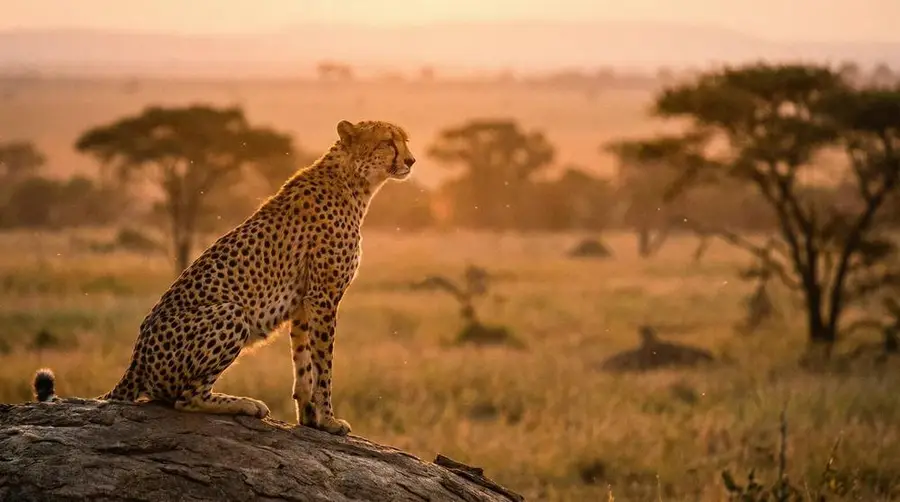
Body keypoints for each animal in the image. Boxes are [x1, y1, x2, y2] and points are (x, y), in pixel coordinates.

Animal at [31, 119, 415, 436]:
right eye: (388, 142)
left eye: (404, 140)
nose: (411, 161)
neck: (353, 181)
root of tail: (136, 359)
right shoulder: (323, 296)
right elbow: (324, 364)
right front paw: (330, 419)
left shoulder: (305, 303)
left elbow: (304, 363)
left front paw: (311, 419)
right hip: (230, 312)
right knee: (184, 398)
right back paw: (243, 404)